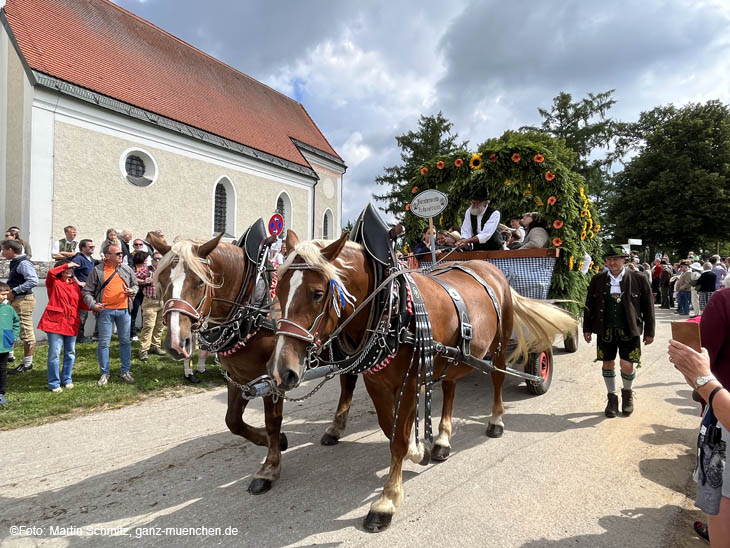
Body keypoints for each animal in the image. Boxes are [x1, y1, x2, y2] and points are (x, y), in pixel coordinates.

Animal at [266, 230, 576, 532]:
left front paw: (387, 500)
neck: (391, 308)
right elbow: (390, 429)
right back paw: (442, 441)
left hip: (499, 345)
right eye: (278, 290)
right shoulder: (377, 382)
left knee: (498, 379)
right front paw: (418, 450)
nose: (282, 371)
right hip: (454, 355)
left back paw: (496, 421)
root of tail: (489, 268)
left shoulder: (410, 381)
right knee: (450, 388)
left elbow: (398, 439)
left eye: (317, 293)